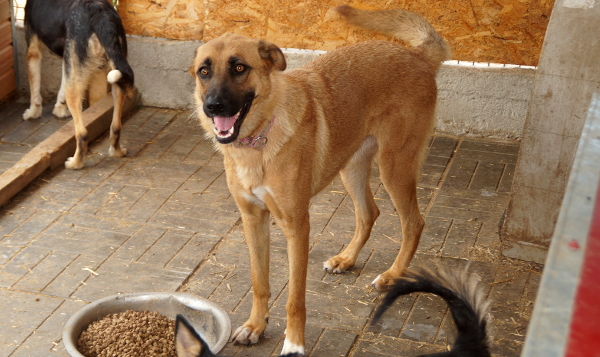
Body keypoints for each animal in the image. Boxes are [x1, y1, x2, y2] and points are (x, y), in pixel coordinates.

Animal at [23, 0, 134, 168]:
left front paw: (33, 112)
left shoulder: (33, 50)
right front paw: (60, 109)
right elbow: (61, 87)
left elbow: (34, 89)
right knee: (116, 126)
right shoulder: (68, 61)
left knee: (82, 134)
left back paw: (75, 163)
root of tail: (100, 14)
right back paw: (117, 152)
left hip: (76, 87)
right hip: (116, 71)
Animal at [192, 4, 450, 354]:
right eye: (203, 71)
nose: (213, 106)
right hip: (351, 166)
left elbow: (295, 298)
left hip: (394, 165)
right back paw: (347, 259)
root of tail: (417, 56)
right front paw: (255, 326)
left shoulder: (297, 226)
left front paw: (294, 344)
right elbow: (259, 282)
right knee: (369, 213)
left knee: (413, 222)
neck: (258, 142)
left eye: (240, 67)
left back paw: (393, 275)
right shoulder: (252, 219)